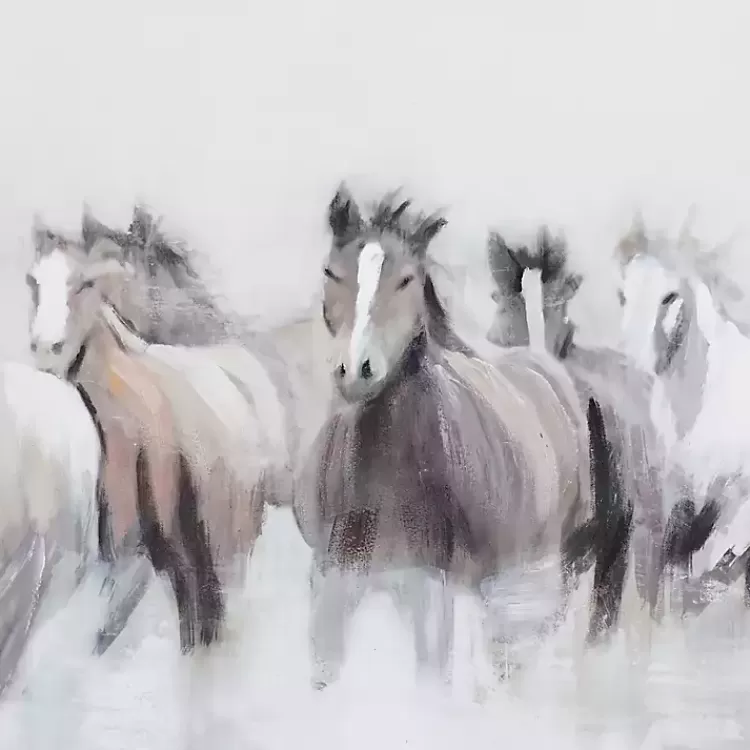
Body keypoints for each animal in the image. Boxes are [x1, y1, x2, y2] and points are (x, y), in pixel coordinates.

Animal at [290, 183, 627, 693]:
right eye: (331, 272)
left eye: (407, 279)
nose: (357, 370)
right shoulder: (332, 584)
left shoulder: (431, 588)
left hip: (543, 579)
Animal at [616, 212, 750, 613]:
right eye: (623, 295)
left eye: (670, 297)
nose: (634, 364)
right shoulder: (677, 493)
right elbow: (671, 570)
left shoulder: (724, 494)